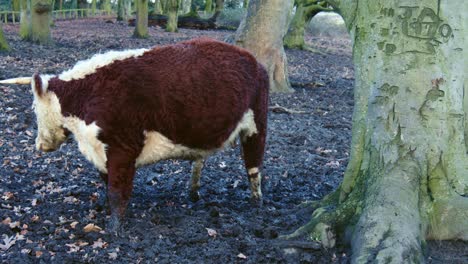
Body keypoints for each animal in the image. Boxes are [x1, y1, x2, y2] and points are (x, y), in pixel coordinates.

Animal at [0, 38, 268, 232]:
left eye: (34, 108)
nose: (39, 145)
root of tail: (254, 61)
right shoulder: (102, 152)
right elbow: (106, 182)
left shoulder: (123, 149)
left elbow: (117, 190)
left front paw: (115, 228)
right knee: (199, 161)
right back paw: (193, 194)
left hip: (257, 127)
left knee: (253, 167)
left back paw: (257, 203)